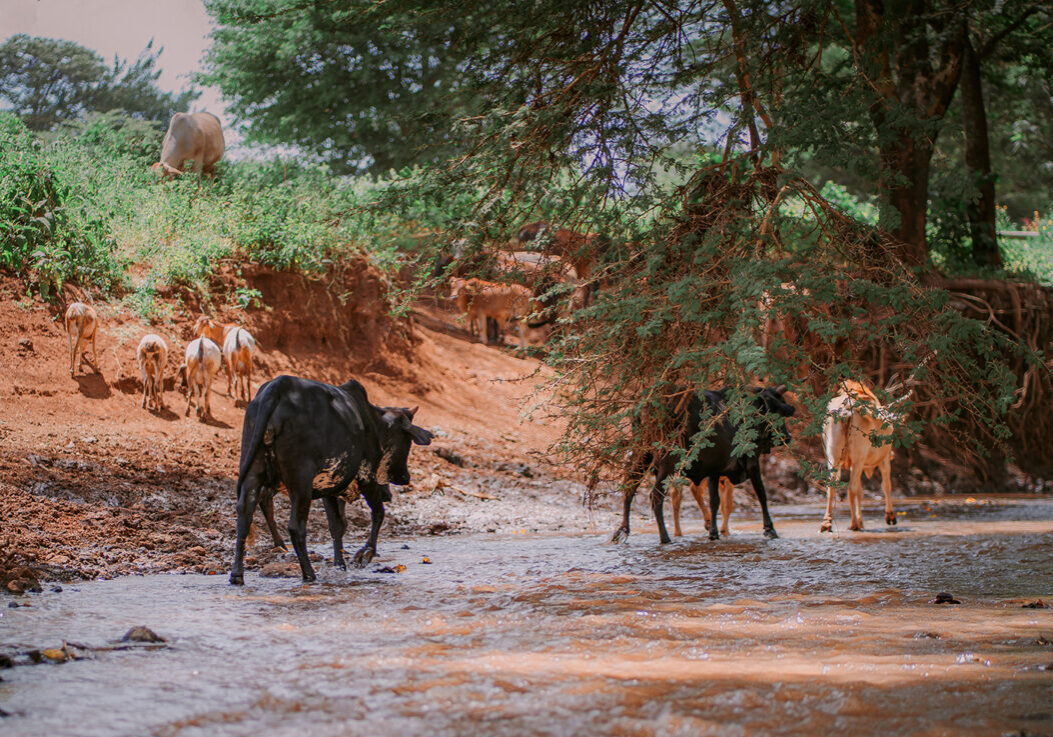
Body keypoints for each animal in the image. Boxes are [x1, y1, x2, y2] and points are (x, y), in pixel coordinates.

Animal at [229, 376, 431, 585]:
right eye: (407, 441)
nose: (405, 477)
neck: (375, 422)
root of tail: (278, 386)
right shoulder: (367, 477)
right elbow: (378, 514)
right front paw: (365, 554)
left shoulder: (330, 487)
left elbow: (337, 526)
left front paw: (340, 565)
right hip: (300, 481)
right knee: (295, 526)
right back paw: (309, 574)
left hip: (253, 471)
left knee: (245, 515)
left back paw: (237, 575)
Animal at [614, 389, 791, 543]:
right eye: (777, 413)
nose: (788, 437)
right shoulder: (751, 463)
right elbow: (761, 494)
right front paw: (770, 529)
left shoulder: (715, 470)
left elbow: (714, 501)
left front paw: (713, 532)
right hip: (667, 462)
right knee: (656, 496)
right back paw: (665, 538)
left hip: (642, 455)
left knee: (629, 487)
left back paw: (622, 530)